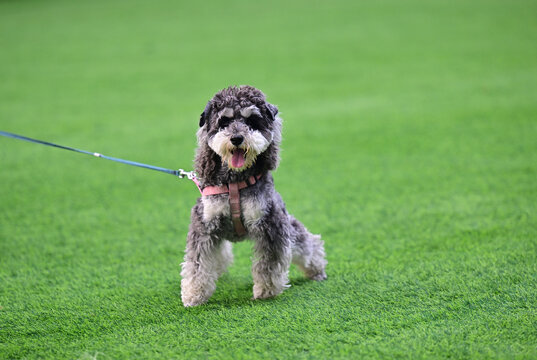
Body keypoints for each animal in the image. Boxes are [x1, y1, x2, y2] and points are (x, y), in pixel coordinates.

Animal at [179, 85, 326, 306]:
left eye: (252, 122)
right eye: (224, 122)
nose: (236, 138)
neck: (234, 181)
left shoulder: (270, 223)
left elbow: (268, 264)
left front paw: (266, 291)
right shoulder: (205, 226)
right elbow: (197, 264)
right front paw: (194, 295)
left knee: (308, 244)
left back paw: (317, 269)